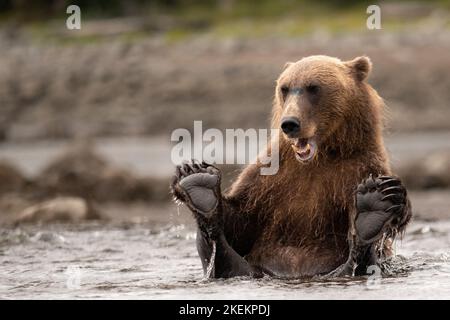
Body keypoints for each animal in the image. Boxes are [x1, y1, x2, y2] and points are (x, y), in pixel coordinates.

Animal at [171, 55, 412, 278]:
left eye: (313, 87)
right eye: (284, 88)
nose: (289, 123)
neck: (319, 157)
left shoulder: (359, 168)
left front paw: (380, 194)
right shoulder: (272, 176)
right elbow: (242, 218)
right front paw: (195, 172)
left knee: (364, 260)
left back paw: (373, 207)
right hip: (252, 267)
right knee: (219, 256)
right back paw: (199, 185)